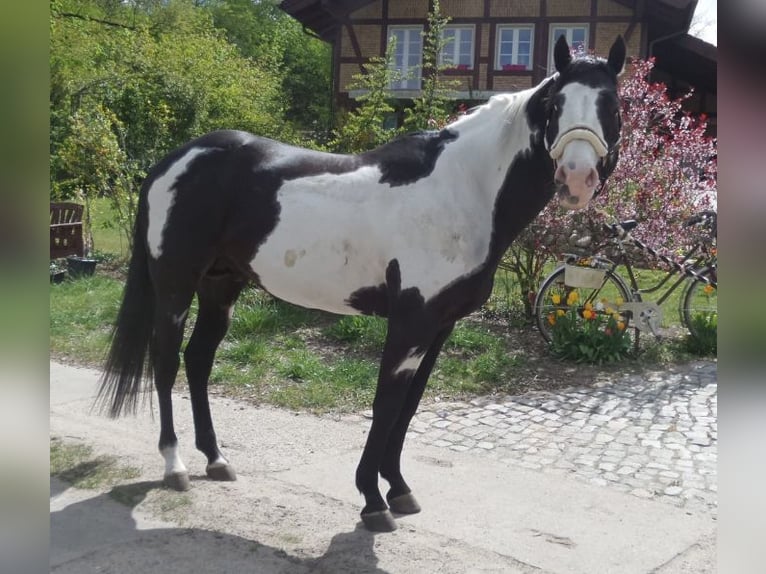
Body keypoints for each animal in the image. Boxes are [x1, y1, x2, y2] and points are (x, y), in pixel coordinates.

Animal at [97, 35, 626, 532]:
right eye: (557, 104)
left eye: (611, 105)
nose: (576, 178)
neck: (463, 189)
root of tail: (175, 161)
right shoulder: (409, 323)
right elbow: (385, 406)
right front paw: (373, 501)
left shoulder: (439, 327)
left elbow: (408, 409)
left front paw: (400, 490)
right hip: (175, 286)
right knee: (166, 363)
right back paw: (175, 465)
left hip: (221, 286)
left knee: (198, 361)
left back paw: (216, 459)